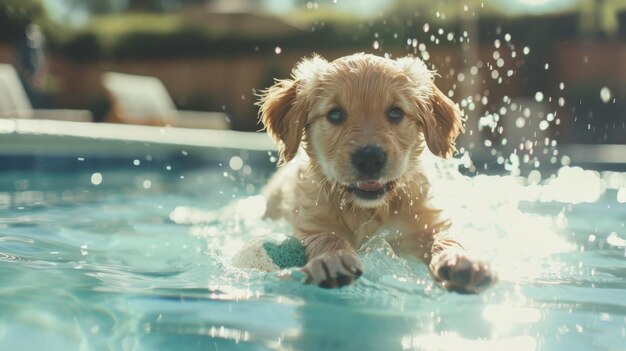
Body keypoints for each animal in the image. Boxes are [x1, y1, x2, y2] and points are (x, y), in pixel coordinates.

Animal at [256, 53, 494, 294]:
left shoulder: (425, 222)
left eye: (396, 112)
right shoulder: (310, 223)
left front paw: (460, 260)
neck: (366, 210)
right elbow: (325, 236)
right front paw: (333, 259)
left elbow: (445, 237)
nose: (369, 158)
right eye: (335, 114)